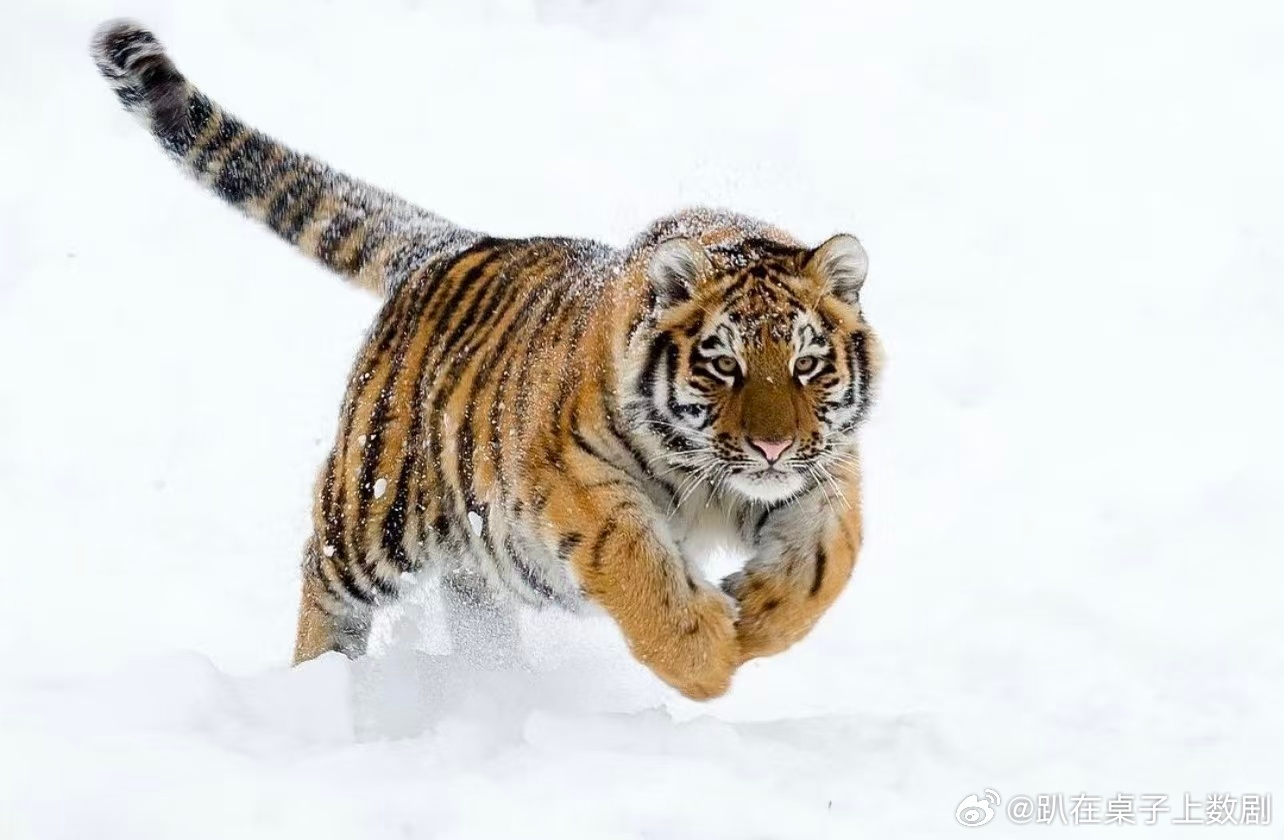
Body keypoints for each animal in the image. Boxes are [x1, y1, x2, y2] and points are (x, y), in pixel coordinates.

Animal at [91, 19, 883, 700]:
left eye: (806, 365)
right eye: (723, 366)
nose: (772, 445)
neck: (714, 483)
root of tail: (450, 246)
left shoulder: (822, 471)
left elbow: (831, 559)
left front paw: (758, 613)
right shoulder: (577, 478)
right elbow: (635, 562)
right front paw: (707, 655)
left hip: (467, 544)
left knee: (471, 600)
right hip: (375, 508)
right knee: (323, 571)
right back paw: (320, 686)